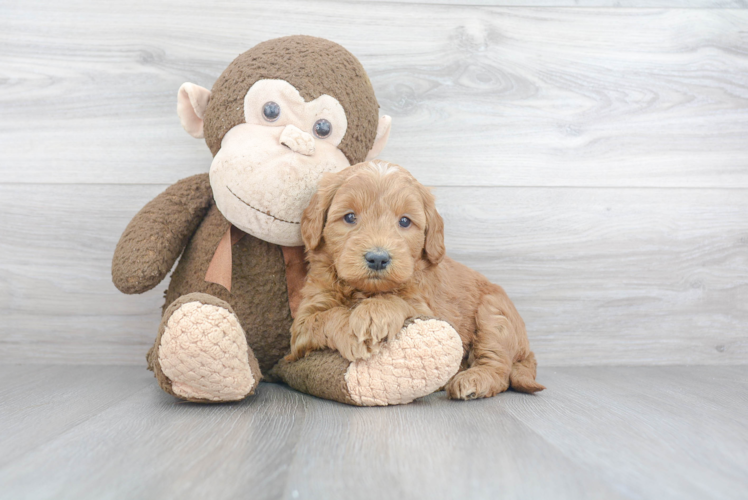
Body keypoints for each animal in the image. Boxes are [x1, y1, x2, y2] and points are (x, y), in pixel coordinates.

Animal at [288, 160, 544, 398]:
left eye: (404, 221)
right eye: (350, 217)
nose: (378, 258)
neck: (366, 291)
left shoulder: (428, 309)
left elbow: (397, 300)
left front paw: (373, 313)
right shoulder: (302, 324)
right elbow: (325, 317)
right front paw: (351, 331)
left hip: (494, 313)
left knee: (499, 368)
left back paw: (472, 380)